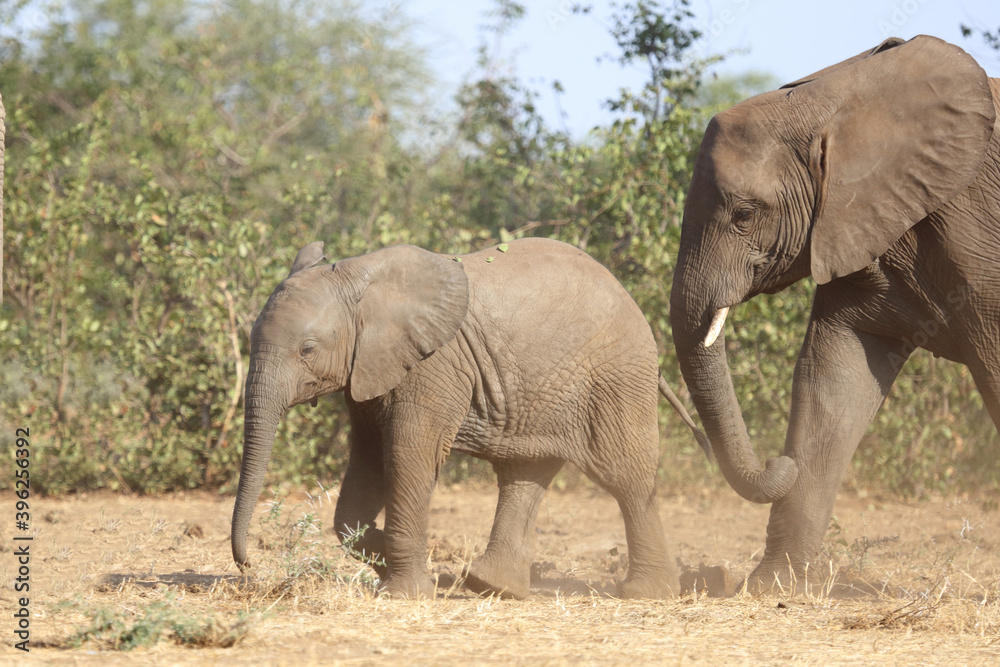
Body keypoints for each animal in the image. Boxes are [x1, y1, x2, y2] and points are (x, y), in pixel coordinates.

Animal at [231, 239, 708, 600]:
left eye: (307, 349)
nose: (248, 564)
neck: (359, 276)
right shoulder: (369, 370)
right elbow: (365, 464)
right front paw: (390, 560)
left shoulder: (432, 366)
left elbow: (408, 457)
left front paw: (405, 592)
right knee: (524, 474)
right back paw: (493, 586)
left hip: (616, 377)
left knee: (626, 477)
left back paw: (648, 593)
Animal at [672, 34, 1000, 592]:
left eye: (744, 215)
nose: (776, 460)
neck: (838, 101)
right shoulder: (854, 220)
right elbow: (832, 377)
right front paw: (770, 588)